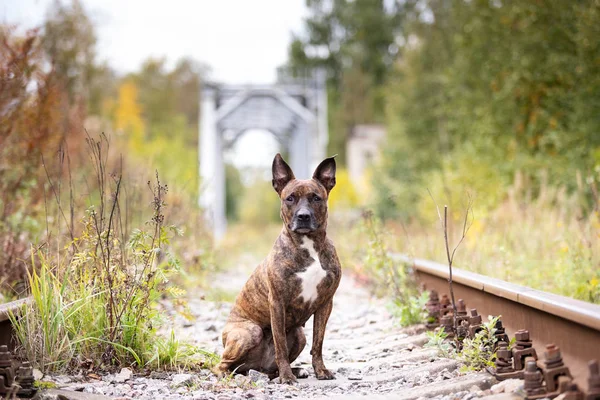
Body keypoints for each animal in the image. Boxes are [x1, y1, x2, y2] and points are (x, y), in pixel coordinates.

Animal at [212, 154, 342, 384]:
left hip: (299, 335)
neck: (309, 245)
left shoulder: (325, 303)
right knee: (221, 365)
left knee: (269, 368)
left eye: (316, 198)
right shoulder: (277, 302)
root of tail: (254, 366)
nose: (303, 216)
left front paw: (320, 370)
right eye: (290, 198)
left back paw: (293, 370)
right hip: (249, 332)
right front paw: (287, 377)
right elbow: (280, 344)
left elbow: (318, 343)